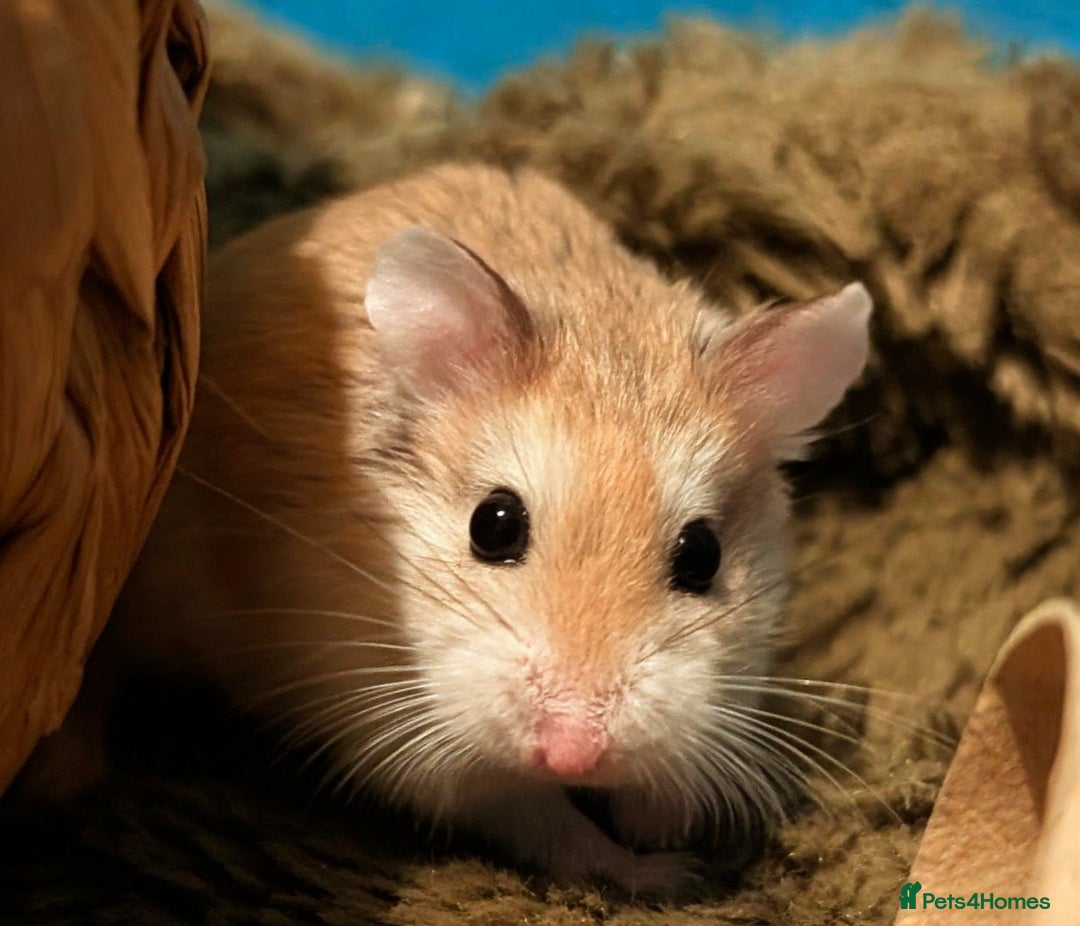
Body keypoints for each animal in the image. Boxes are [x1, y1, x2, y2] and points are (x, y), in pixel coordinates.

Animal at [94, 164, 871, 893]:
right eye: (493, 524)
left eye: (703, 555)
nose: (572, 752)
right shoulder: (406, 737)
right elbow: (544, 822)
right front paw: (665, 874)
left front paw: (664, 833)